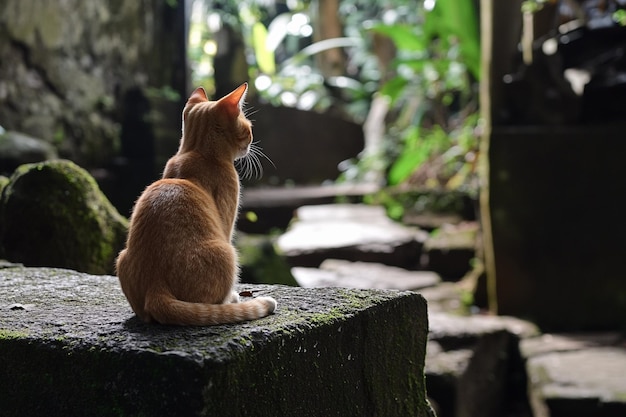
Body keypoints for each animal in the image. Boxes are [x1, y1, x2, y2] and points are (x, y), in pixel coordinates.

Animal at [115, 83, 276, 324]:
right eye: (248, 129)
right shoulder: (227, 220)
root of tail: (156, 289)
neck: (196, 152)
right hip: (227, 252)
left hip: (121, 257)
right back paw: (231, 300)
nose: (251, 143)